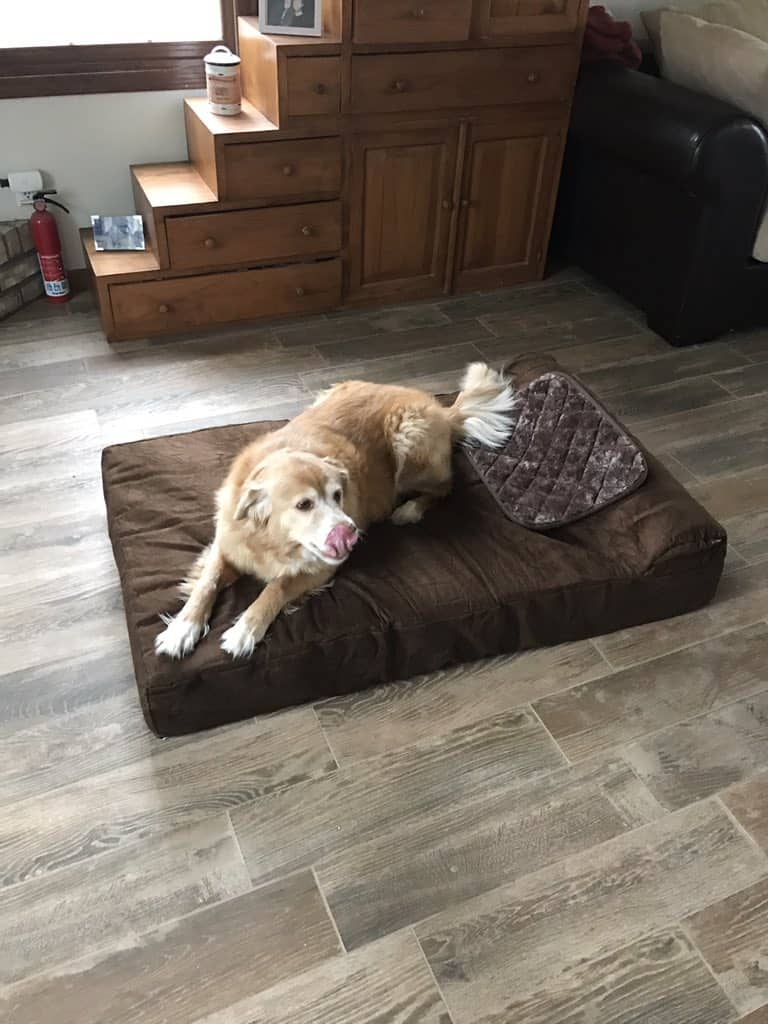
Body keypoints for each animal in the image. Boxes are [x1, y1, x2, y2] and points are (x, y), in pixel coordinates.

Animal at [154, 364, 518, 659]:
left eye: (338, 495)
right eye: (304, 504)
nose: (350, 533)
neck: (270, 540)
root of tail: (442, 410)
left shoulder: (320, 568)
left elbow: (276, 587)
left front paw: (245, 629)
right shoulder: (227, 542)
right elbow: (207, 583)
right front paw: (182, 628)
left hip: (410, 440)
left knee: (444, 487)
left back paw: (409, 510)